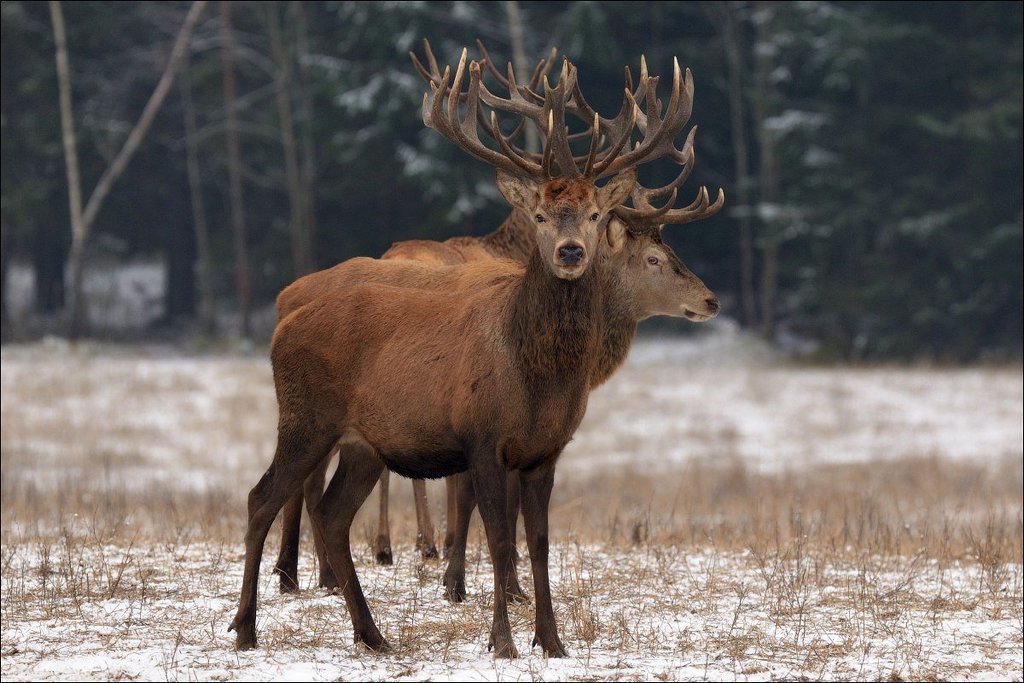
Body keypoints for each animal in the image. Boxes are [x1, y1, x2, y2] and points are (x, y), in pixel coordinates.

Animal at [229, 47, 719, 657]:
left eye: (593, 214)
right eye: (541, 215)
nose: (571, 252)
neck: (540, 376)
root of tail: (282, 321)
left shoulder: (545, 451)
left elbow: (539, 543)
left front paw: (551, 642)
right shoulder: (483, 437)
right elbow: (500, 537)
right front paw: (500, 639)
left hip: (364, 443)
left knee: (332, 513)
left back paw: (372, 634)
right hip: (305, 417)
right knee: (262, 497)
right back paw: (247, 626)